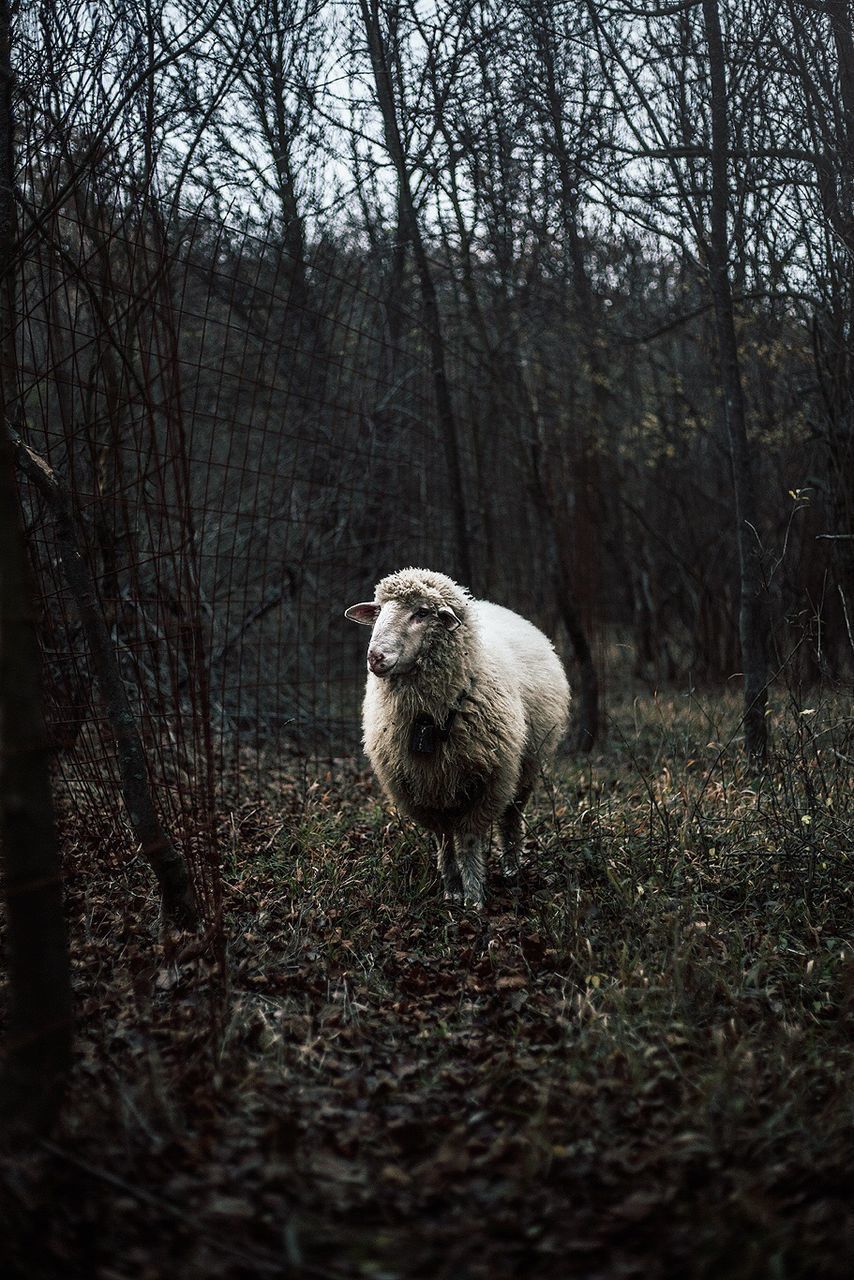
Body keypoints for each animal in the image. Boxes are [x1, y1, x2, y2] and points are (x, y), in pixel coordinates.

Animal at [343, 565, 571, 906]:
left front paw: (474, 894)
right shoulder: (421, 788)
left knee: (512, 817)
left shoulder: (488, 781)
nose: (375, 657)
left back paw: (511, 867)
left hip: (528, 766)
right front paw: (451, 887)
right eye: (380, 611)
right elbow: (445, 839)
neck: (430, 720)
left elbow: (468, 839)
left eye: (422, 612)